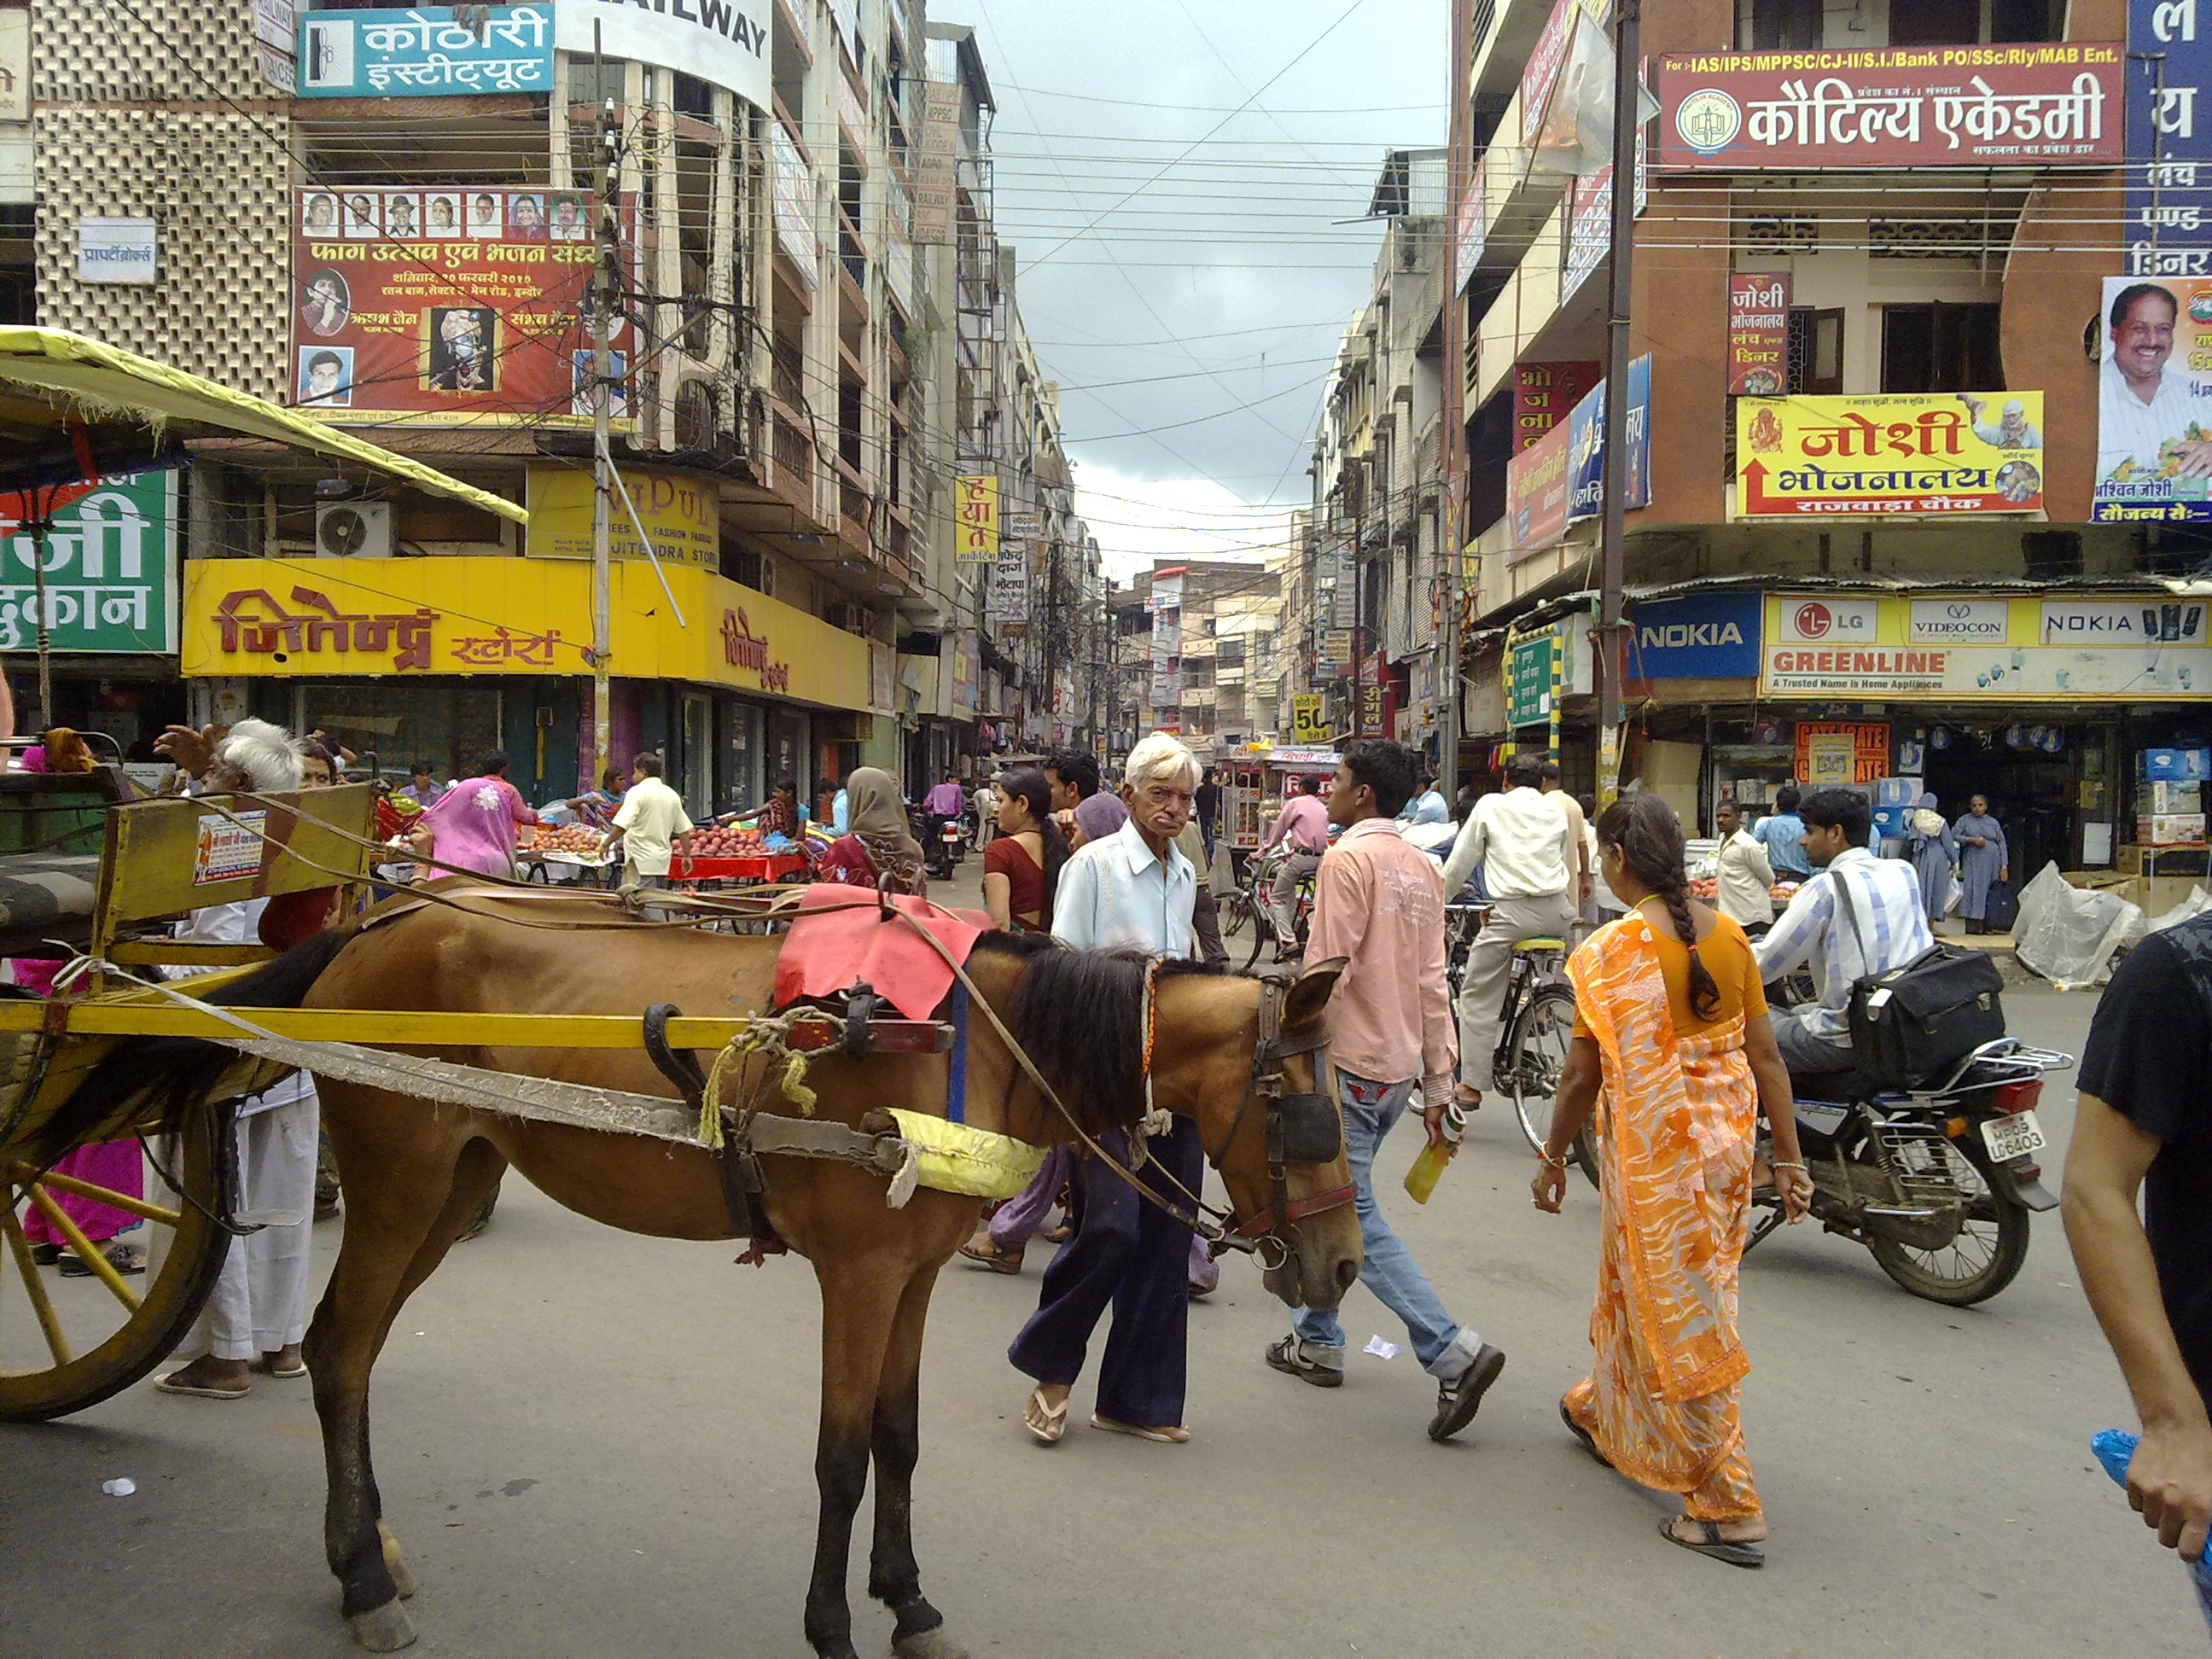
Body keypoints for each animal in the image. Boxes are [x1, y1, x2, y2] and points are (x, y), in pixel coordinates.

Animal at [51, 902, 1353, 1654]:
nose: (1340, 1265)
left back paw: (366, 1555)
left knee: (350, 1352)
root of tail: (365, 935)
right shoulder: (859, 1276)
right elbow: (841, 1458)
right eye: (1296, 1102)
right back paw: (365, 1578)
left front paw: (910, 1603)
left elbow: (899, 1441)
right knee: (338, 1351)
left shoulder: (914, 1277)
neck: (974, 1044)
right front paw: (833, 1624)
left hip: (454, 1182)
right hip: (397, 1179)